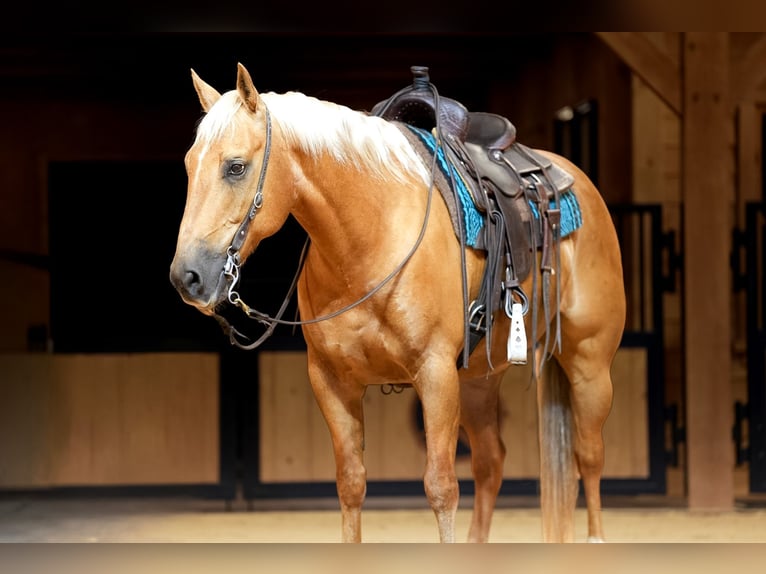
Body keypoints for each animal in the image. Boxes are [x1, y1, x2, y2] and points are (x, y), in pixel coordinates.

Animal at [169, 63, 626, 543]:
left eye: (236, 167)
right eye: (189, 165)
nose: (187, 276)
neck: (369, 239)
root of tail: (575, 182)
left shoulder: (435, 374)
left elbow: (441, 488)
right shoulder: (331, 381)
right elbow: (351, 485)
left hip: (589, 363)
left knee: (588, 454)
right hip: (478, 382)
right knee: (491, 462)